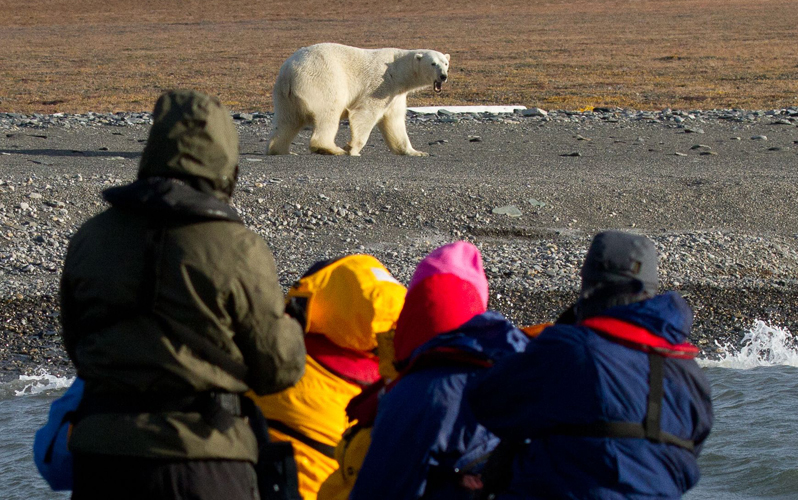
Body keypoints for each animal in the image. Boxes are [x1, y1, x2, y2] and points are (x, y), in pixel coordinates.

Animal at [268, 42, 450, 156]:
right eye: (433, 63)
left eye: (445, 63)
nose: (443, 76)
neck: (397, 70)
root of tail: (289, 72)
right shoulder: (380, 85)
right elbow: (365, 113)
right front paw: (352, 149)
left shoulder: (395, 94)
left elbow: (395, 121)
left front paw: (417, 152)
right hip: (322, 81)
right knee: (328, 113)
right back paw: (332, 149)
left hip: (283, 95)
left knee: (286, 121)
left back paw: (281, 149)